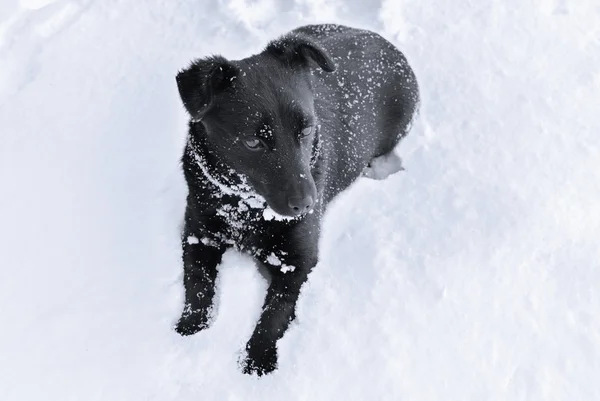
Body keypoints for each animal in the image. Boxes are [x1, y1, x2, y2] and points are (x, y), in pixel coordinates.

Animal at [173, 24, 418, 376]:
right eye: (253, 142)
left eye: (305, 131)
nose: (307, 204)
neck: (245, 206)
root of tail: (387, 44)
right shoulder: (197, 233)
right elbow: (197, 282)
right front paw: (191, 328)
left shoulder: (299, 261)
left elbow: (276, 311)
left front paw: (257, 359)